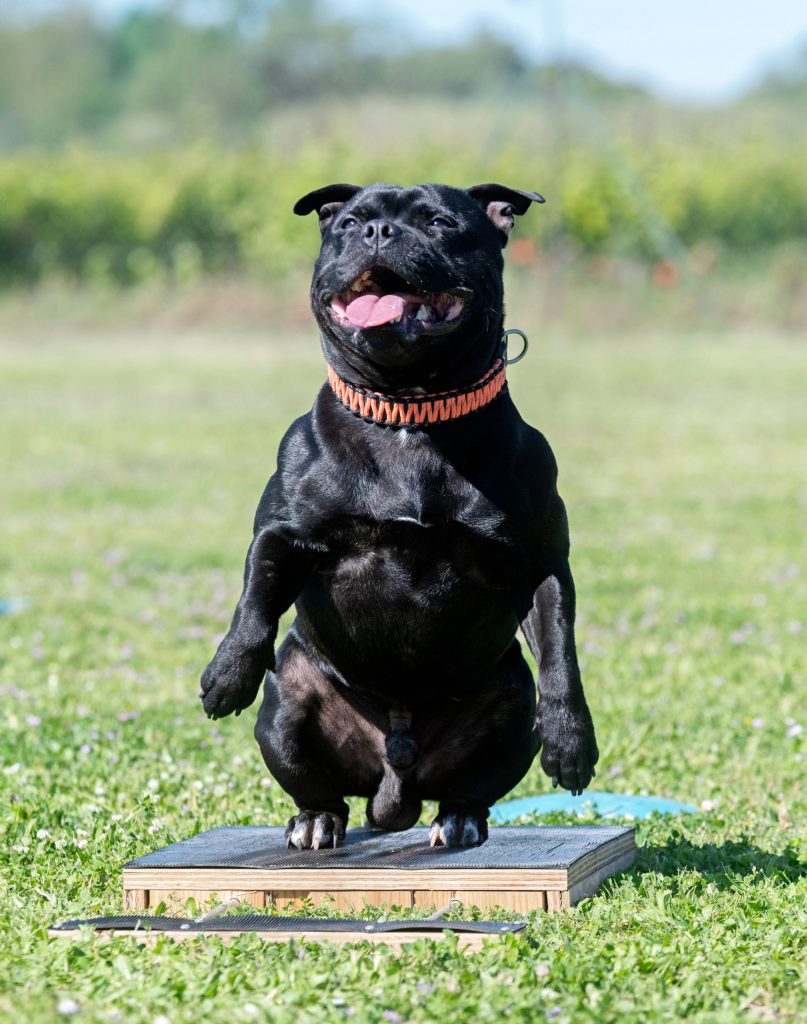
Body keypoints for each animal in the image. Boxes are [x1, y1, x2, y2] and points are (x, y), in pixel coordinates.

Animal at [199, 182, 593, 847]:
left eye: (439, 223)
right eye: (349, 222)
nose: (378, 232)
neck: (410, 413)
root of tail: (396, 781)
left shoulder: (540, 563)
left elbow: (561, 654)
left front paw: (572, 743)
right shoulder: (284, 534)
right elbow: (254, 602)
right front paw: (227, 674)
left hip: (513, 705)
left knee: (475, 784)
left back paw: (460, 819)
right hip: (286, 708)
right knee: (316, 785)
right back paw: (315, 822)